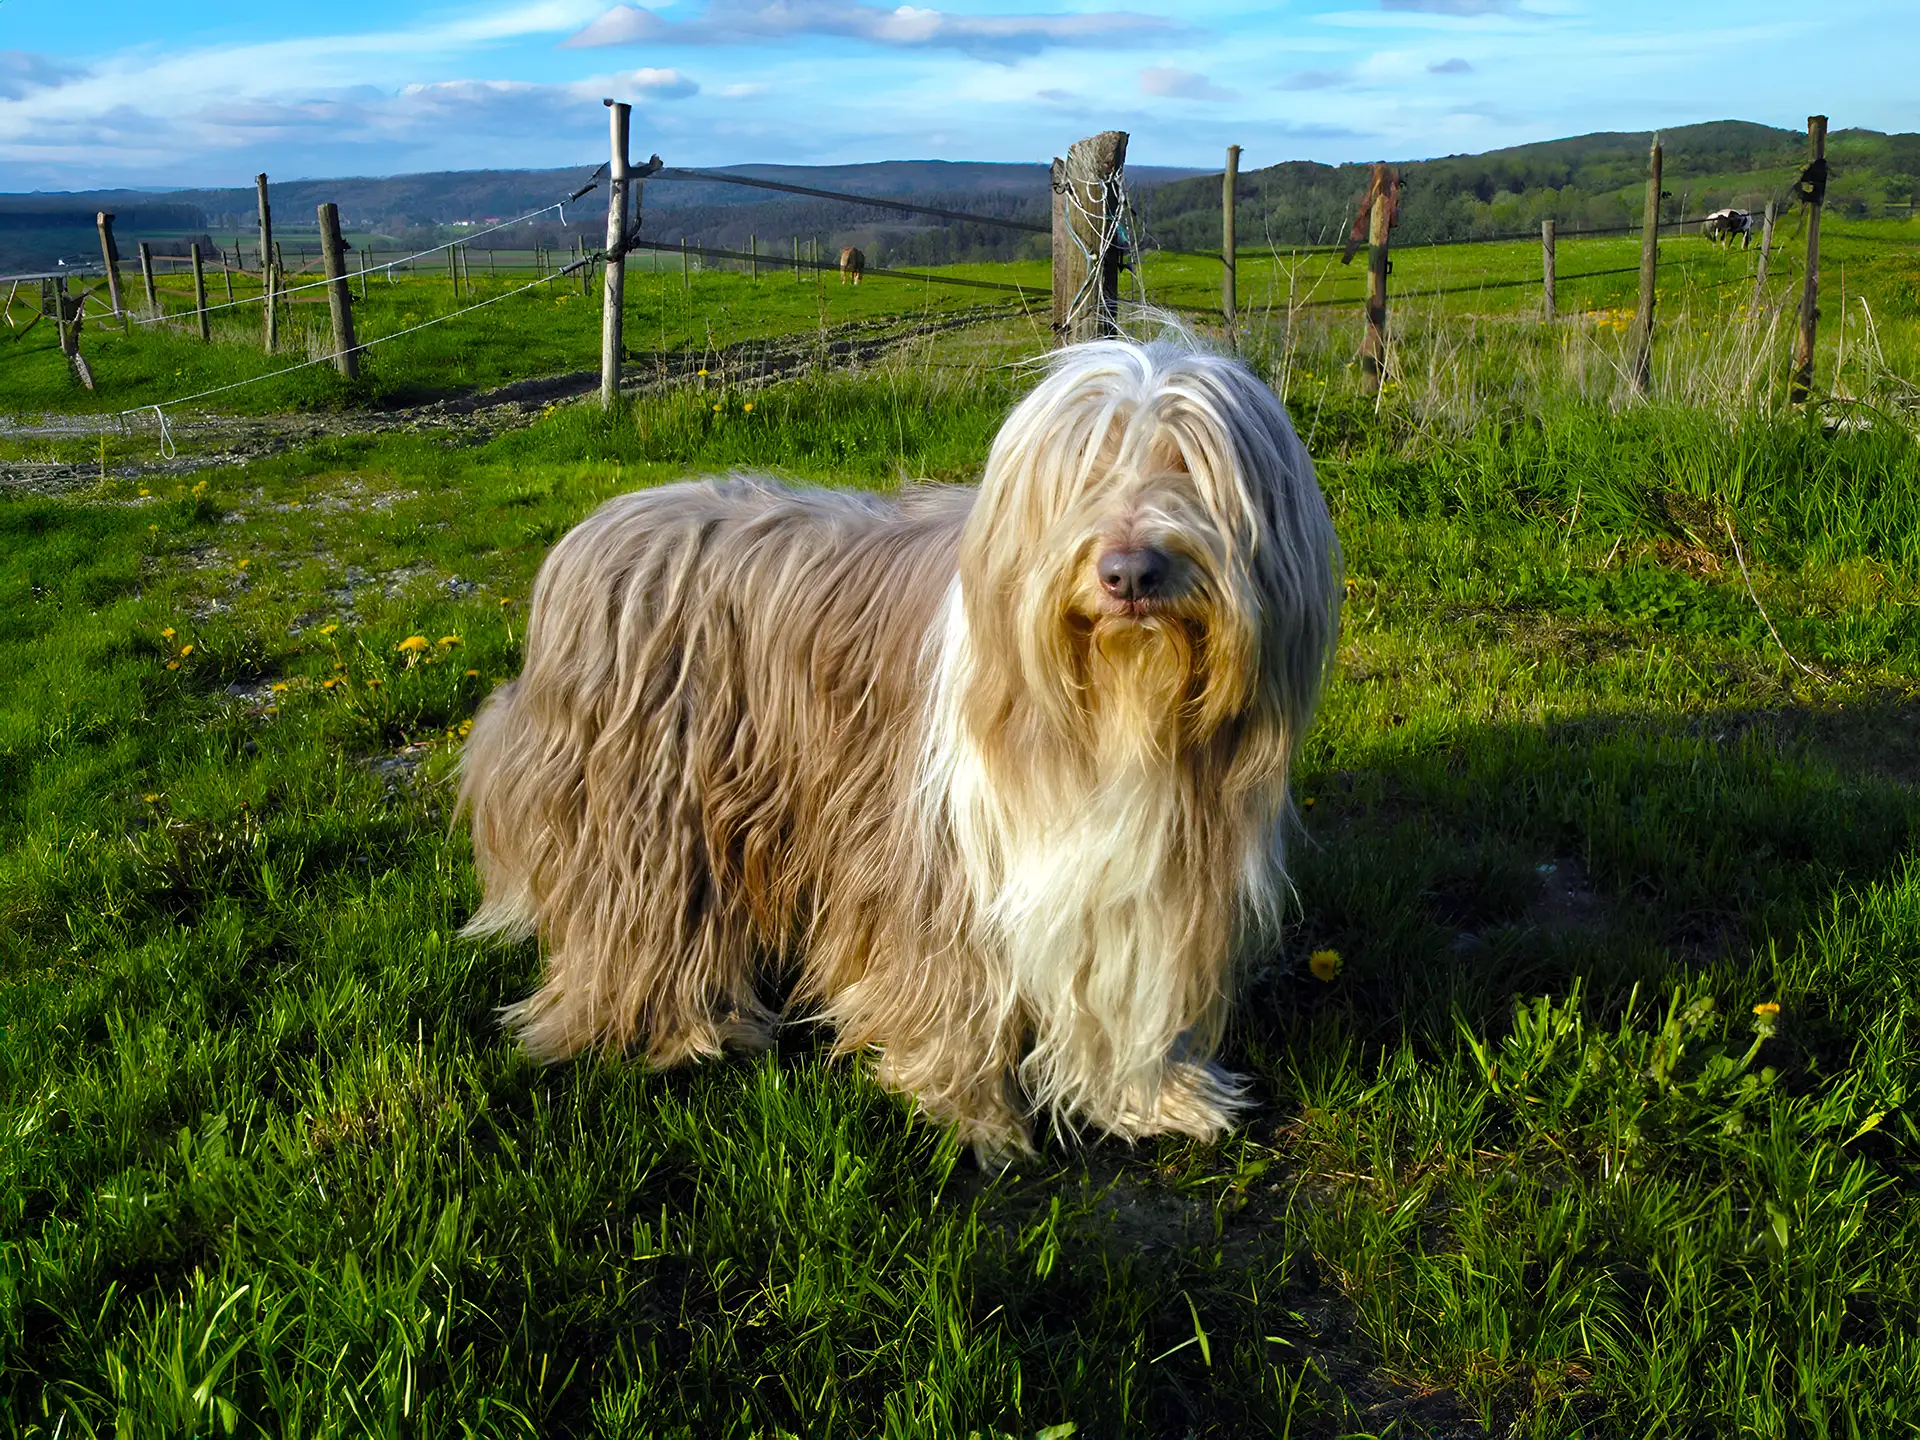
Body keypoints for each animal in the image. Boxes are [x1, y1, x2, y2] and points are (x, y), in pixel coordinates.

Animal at [456, 332, 1344, 1159]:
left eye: (1192, 469)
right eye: (1081, 473)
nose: (1130, 572)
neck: (1115, 710)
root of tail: (594, 531)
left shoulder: (1144, 884)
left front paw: (1152, 1098)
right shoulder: (937, 863)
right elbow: (952, 986)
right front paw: (972, 1113)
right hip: (648, 811)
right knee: (643, 917)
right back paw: (683, 1030)